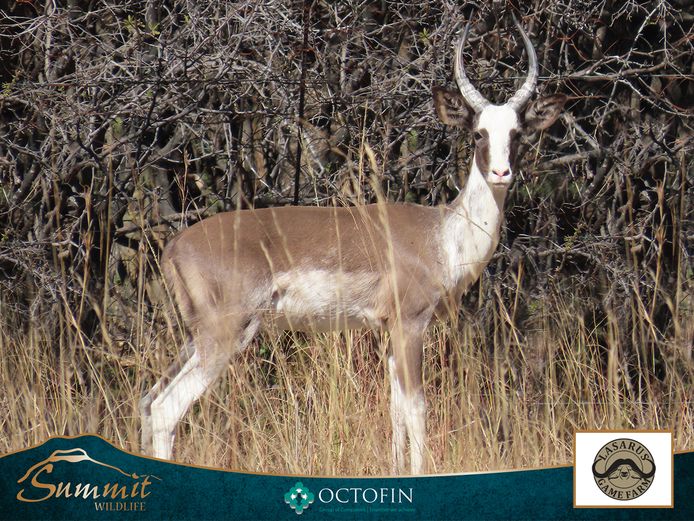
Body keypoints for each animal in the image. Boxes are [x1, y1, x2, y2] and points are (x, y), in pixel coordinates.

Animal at [140, 16, 567, 475]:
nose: (502, 173)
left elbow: (396, 412)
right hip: (226, 333)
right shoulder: (409, 324)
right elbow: (418, 408)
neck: (442, 235)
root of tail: (174, 246)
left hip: (196, 338)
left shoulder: (387, 333)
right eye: (477, 134)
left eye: (518, 133)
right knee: (165, 408)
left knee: (148, 400)